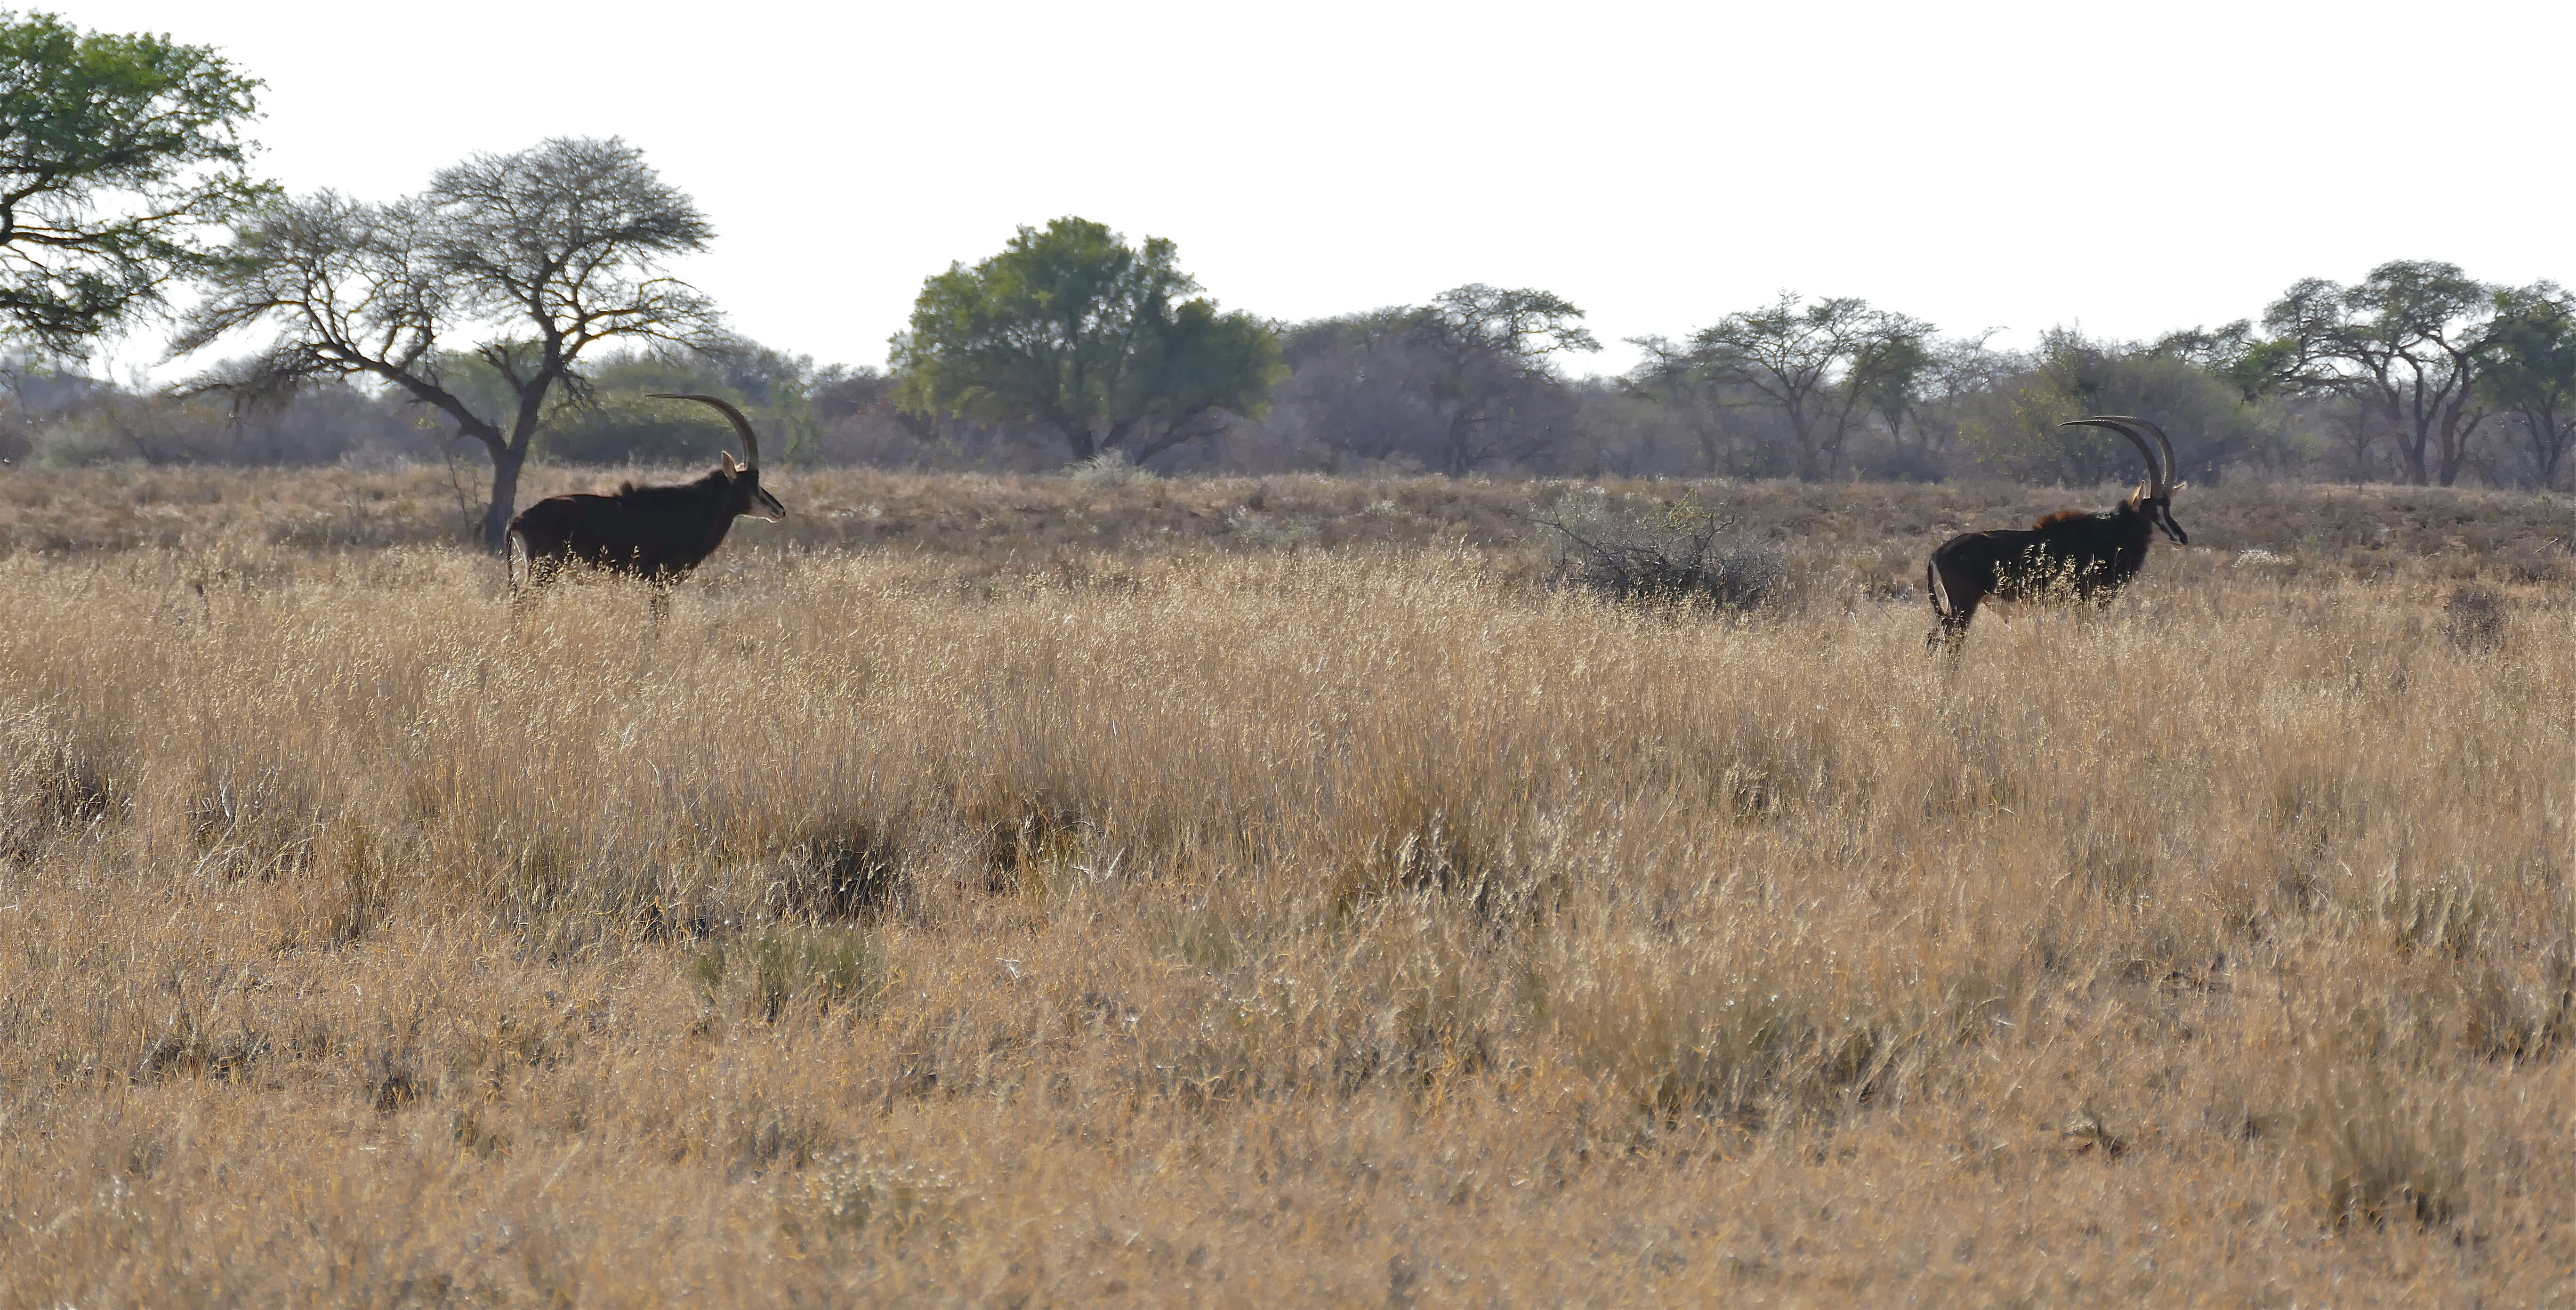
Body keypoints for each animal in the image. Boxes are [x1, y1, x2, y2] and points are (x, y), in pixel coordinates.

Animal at [502, 389, 783, 603]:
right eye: (752, 483)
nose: (779, 510)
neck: (691, 508)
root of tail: (517, 521)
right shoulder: (661, 581)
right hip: (546, 570)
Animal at [1927, 415, 2184, 650]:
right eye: (2152, 513)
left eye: (2168, 507)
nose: (2183, 538)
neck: (2107, 535)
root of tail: (1937, 553)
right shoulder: (2085, 602)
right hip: (1963, 606)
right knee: (1945, 642)